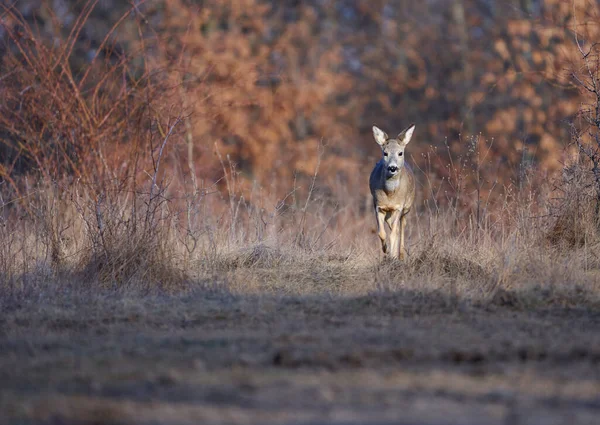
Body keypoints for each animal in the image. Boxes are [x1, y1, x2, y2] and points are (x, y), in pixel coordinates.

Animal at [368, 124, 414, 260]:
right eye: (385, 153)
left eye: (400, 153)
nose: (392, 168)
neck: (390, 194)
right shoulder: (378, 206)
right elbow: (382, 233)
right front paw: (386, 250)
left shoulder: (399, 207)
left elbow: (393, 233)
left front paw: (393, 256)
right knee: (395, 228)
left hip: (407, 207)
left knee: (402, 226)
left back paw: (401, 255)